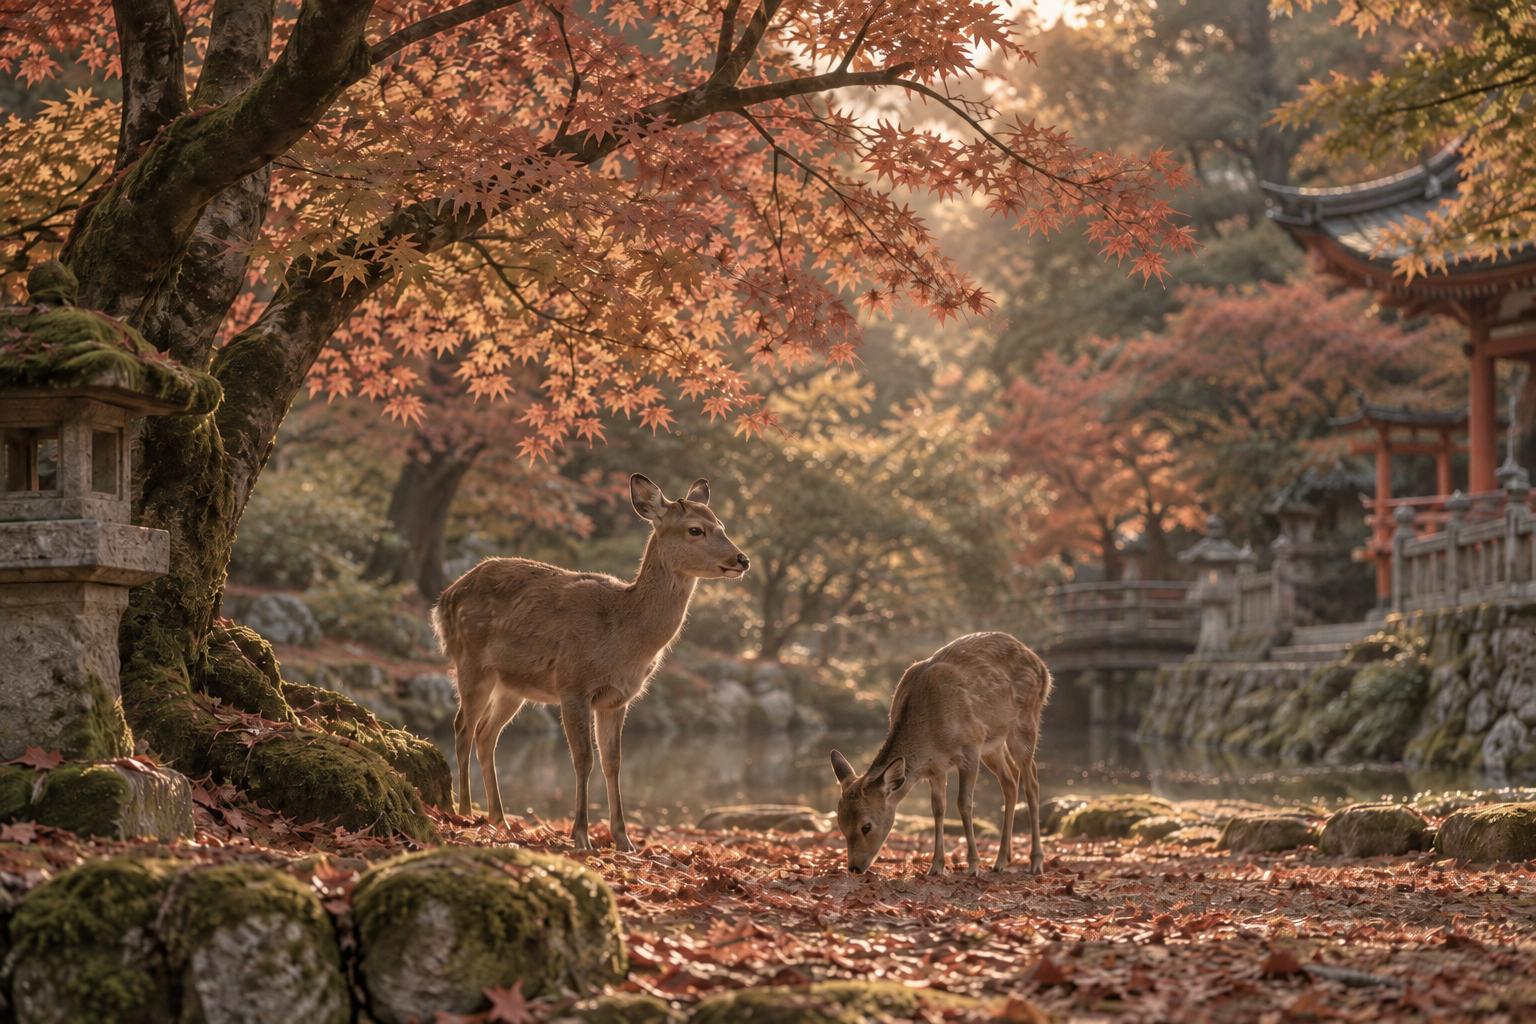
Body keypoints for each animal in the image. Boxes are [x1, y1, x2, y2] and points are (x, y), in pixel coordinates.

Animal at [432, 474, 749, 852]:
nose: (742, 559)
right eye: (695, 529)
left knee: (485, 734)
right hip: (471, 659)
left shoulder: (617, 698)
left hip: (512, 684)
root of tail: (443, 600)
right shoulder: (573, 684)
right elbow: (583, 759)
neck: (622, 634)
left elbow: (613, 762)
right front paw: (581, 836)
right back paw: (464, 813)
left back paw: (499, 819)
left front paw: (624, 840)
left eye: (722, 525)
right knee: (462, 728)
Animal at [829, 631, 1052, 877]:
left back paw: (1036, 862)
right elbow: (937, 809)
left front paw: (973, 866)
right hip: (993, 744)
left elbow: (964, 804)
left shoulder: (970, 745)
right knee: (1010, 780)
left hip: (1025, 721)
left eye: (866, 826)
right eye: (840, 824)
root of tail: (1043, 667)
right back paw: (1002, 859)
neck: (929, 738)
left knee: (1032, 782)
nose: (854, 868)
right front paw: (936, 867)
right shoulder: (936, 767)